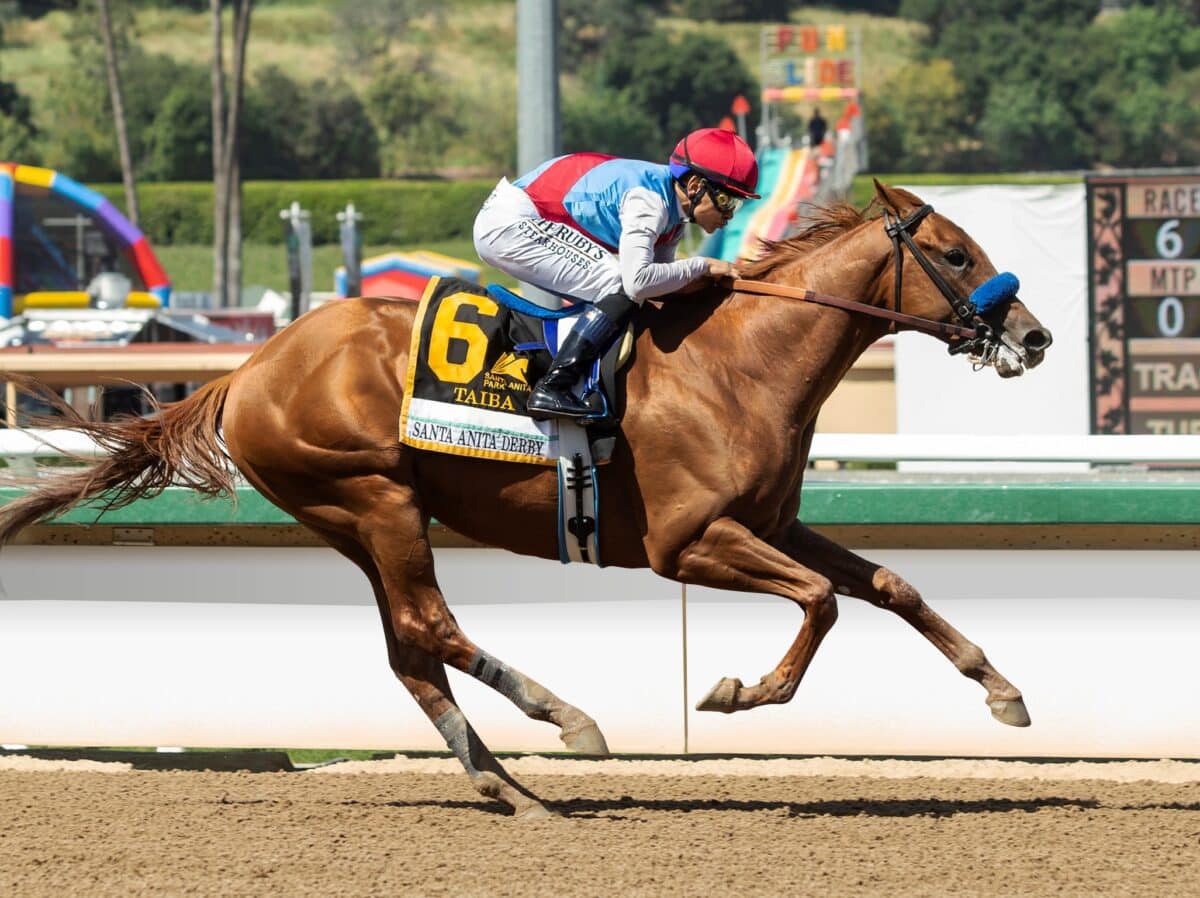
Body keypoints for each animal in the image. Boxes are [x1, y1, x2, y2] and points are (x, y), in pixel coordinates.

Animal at [0, 183, 1051, 821]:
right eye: (955, 253)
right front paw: (737, 691)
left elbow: (888, 585)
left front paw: (1002, 690)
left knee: (409, 649)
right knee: (430, 625)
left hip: (358, 518)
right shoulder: (689, 542)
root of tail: (249, 366)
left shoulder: (772, 524)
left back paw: (508, 786)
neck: (739, 364)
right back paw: (566, 719)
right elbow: (824, 602)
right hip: (373, 497)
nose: (1035, 337)